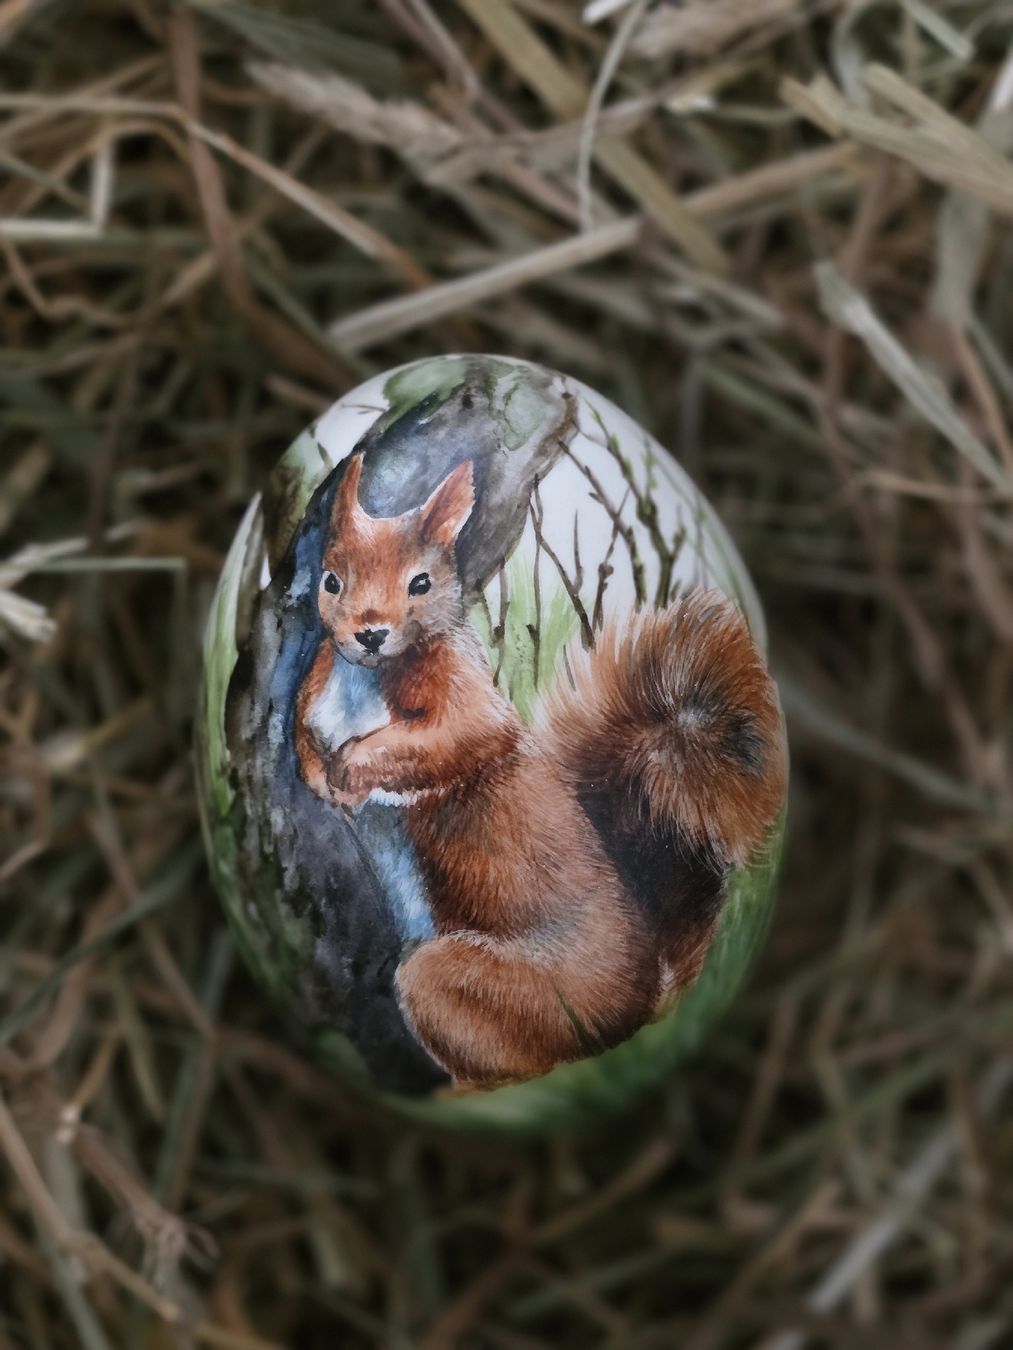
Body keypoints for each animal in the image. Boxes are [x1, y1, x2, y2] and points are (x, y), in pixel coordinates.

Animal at [295, 453, 786, 1088]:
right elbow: (303, 727)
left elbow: (454, 739)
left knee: (525, 1066)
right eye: (331, 579)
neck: (361, 679)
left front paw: (350, 771)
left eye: (420, 582)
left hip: (474, 989)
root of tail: (640, 1002)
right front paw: (314, 770)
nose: (370, 632)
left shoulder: (469, 703)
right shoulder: (314, 692)